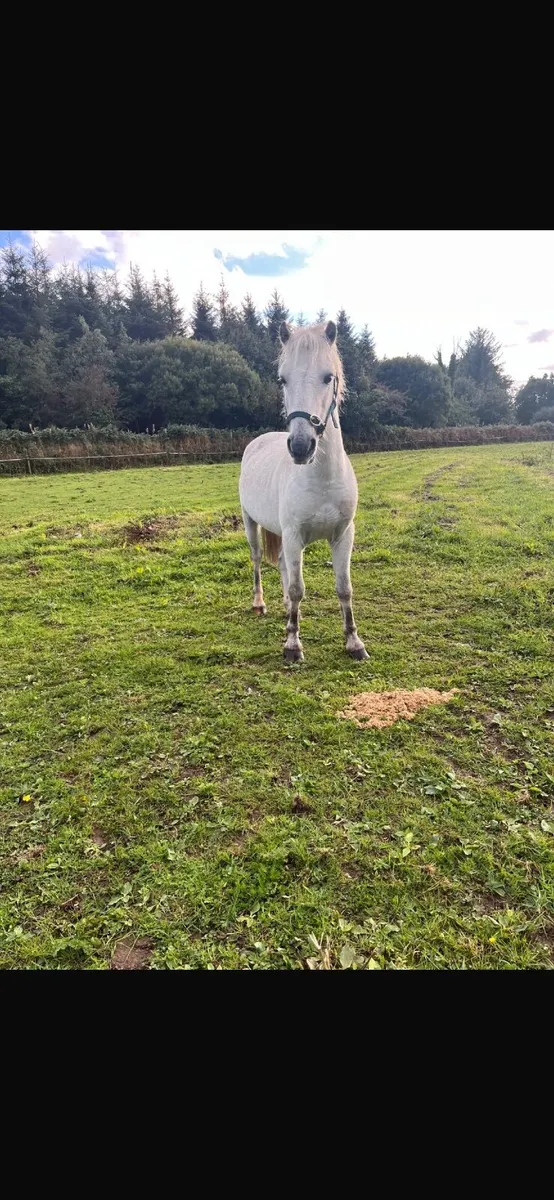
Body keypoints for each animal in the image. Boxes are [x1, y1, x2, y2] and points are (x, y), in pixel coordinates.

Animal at [239, 319, 368, 664]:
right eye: (283, 379)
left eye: (328, 377)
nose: (300, 446)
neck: (322, 479)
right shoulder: (294, 534)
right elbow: (299, 588)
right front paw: (292, 645)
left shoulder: (342, 535)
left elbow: (344, 587)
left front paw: (354, 642)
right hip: (250, 523)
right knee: (258, 558)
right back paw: (260, 604)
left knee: (283, 563)